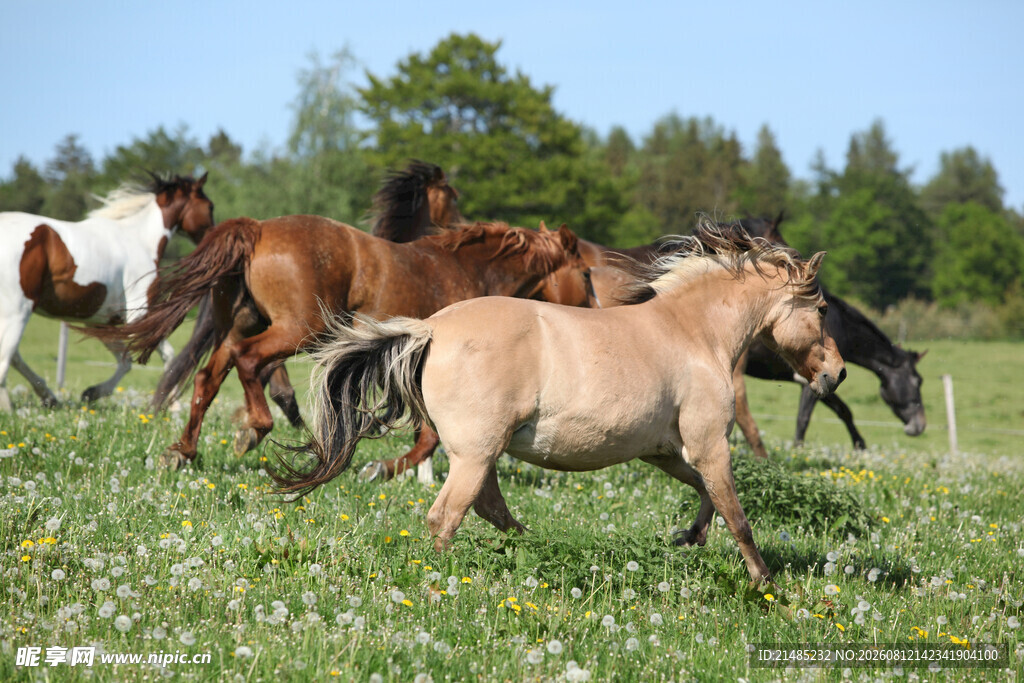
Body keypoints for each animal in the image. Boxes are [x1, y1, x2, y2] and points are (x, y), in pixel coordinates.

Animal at [0, 174, 214, 411]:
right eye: (209, 206)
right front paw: (172, 407)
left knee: (14, 356)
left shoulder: (101, 322)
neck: (139, 239)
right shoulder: (139, 315)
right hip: (18, 312)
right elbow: (167, 355)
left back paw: (48, 396)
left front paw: (91, 393)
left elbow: (125, 361)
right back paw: (10, 407)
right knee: (6, 358)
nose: (213, 235)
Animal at [90, 216, 593, 468]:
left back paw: (184, 452)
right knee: (249, 364)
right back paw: (255, 429)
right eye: (586, 274)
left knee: (210, 377)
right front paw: (385, 468)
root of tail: (257, 228)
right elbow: (430, 436)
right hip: (297, 330)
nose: (590, 312)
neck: (467, 270)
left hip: (240, 326)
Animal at [273, 223, 846, 584]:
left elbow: (708, 498)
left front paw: (690, 539)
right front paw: (764, 583)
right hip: (476, 453)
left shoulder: (667, 452)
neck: (694, 334)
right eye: (821, 308)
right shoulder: (709, 445)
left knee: (491, 508)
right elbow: (737, 514)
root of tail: (431, 328)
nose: (836, 373)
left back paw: (538, 547)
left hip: (483, 453)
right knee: (447, 516)